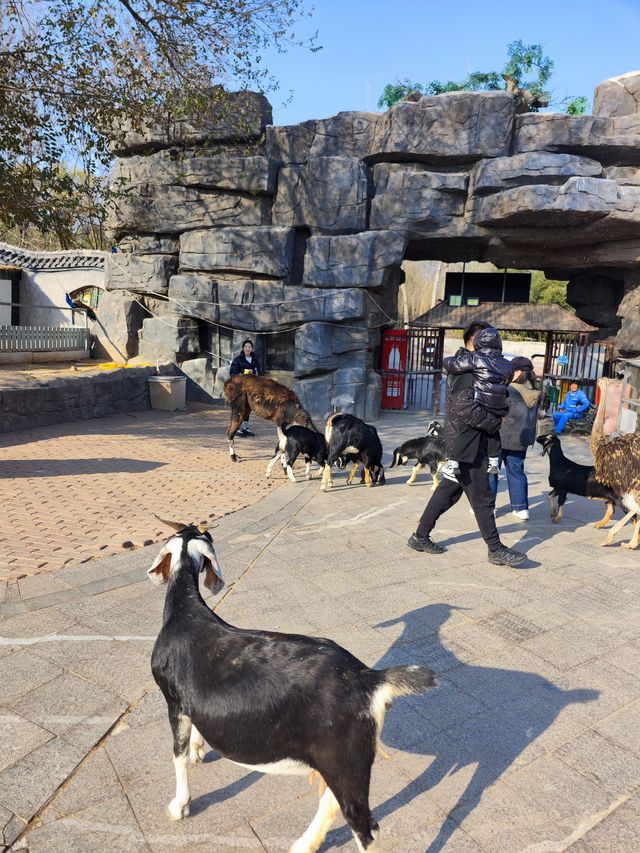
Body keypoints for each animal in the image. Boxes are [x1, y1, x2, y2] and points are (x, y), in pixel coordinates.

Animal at [148, 524, 436, 848]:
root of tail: (369, 679)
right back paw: (304, 844)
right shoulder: (190, 701)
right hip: (338, 760)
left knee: (363, 824)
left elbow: (178, 754)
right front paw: (199, 749)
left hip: (345, 757)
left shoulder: (173, 701)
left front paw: (180, 805)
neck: (185, 612)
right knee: (331, 802)